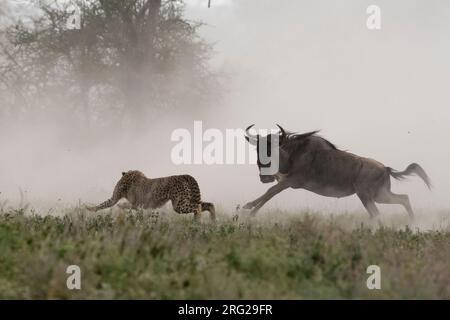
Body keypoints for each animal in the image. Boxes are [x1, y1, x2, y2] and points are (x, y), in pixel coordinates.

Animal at [87, 171, 216, 221]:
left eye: (120, 185)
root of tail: (183, 175)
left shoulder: (138, 204)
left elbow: (122, 204)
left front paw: (121, 205)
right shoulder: (140, 205)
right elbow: (104, 203)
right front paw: (89, 208)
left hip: (179, 205)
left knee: (198, 207)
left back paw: (197, 222)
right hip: (186, 200)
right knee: (208, 204)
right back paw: (212, 221)